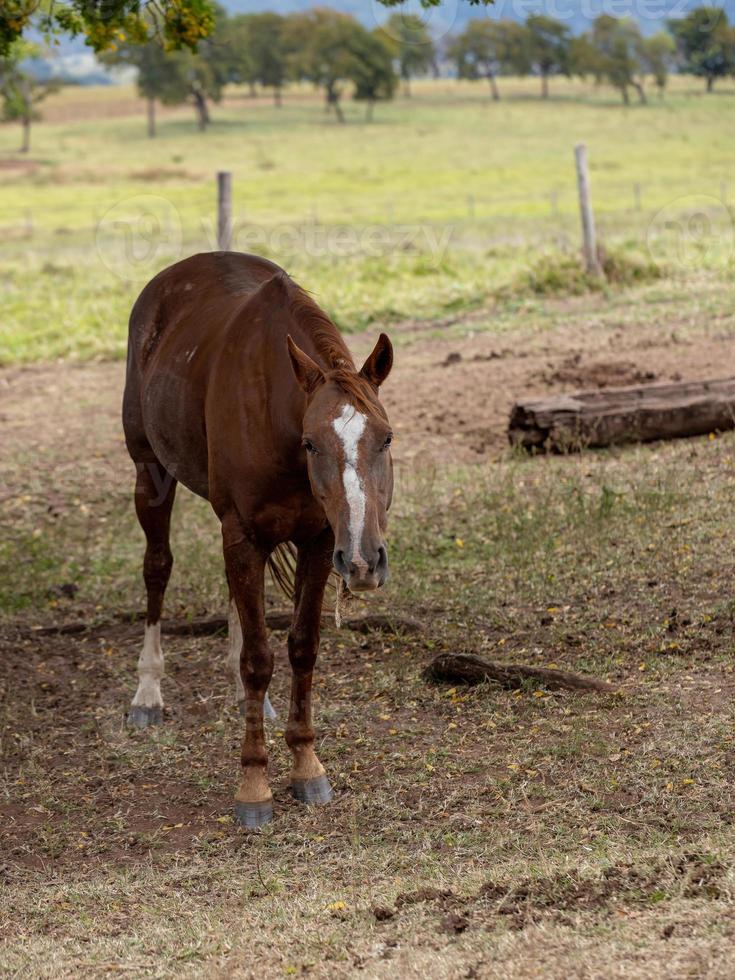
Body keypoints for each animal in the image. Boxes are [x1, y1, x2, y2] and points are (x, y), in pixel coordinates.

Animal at [123, 251, 394, 828]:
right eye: (311, 443)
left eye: (386, 438)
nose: (365, 561)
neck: (277, 414)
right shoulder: (245, 534)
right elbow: (258, 659)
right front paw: (254, 785)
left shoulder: (321, 541)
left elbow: (301, 647)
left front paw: (308, 765)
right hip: (149, 472)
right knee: (157, 568)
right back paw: (148, 692)